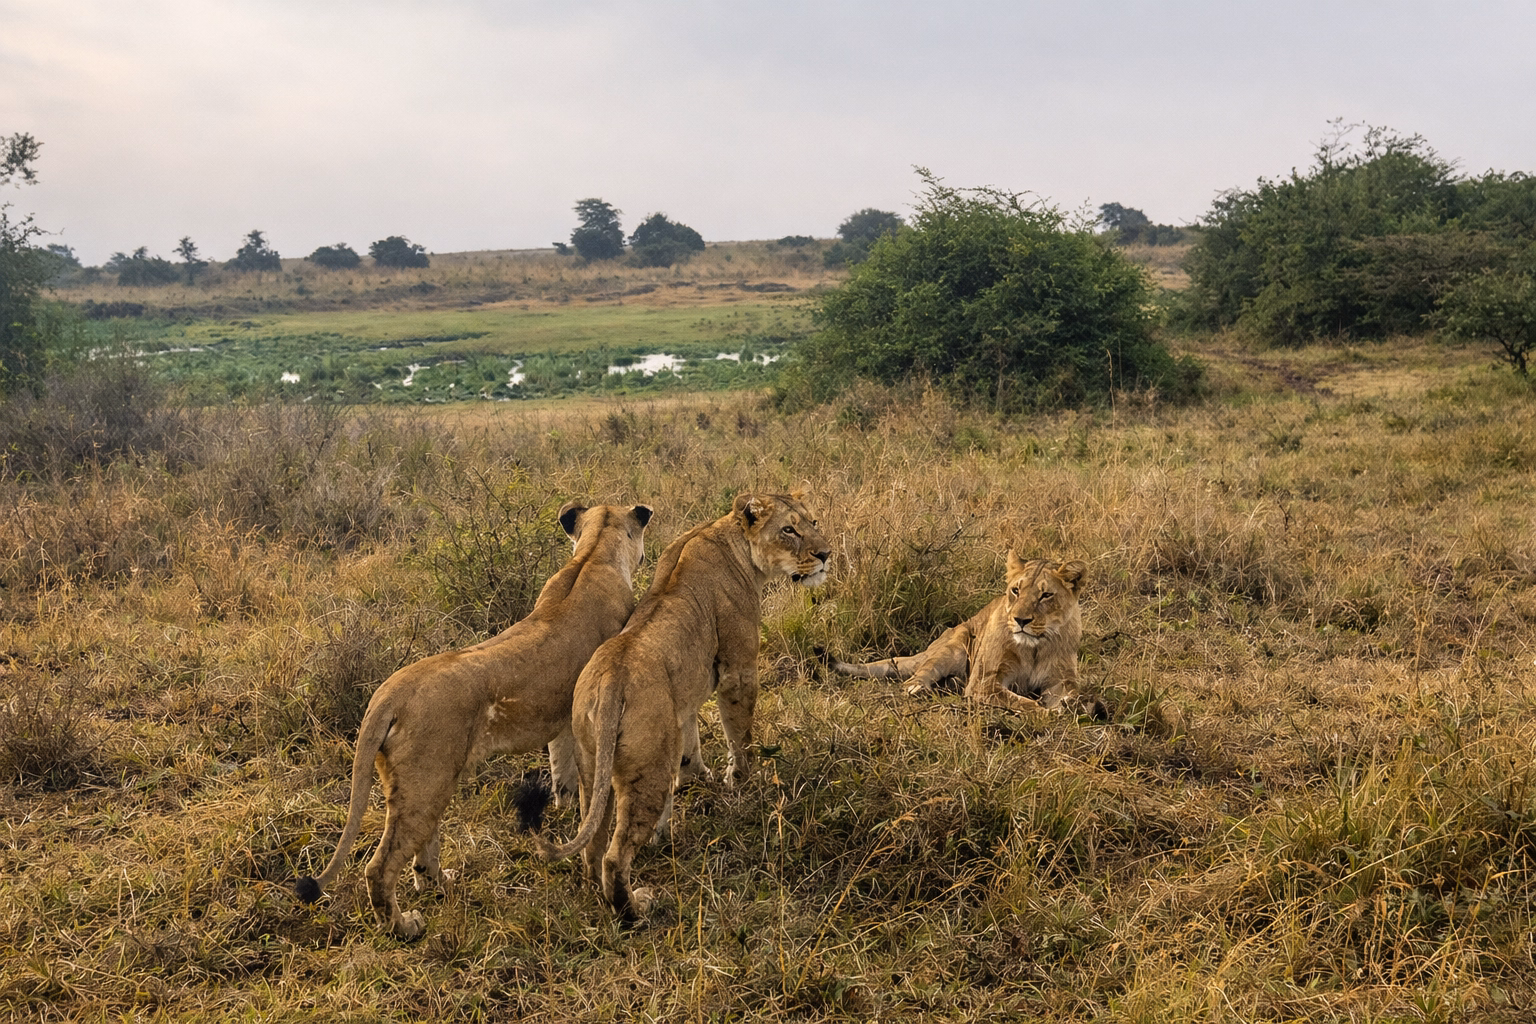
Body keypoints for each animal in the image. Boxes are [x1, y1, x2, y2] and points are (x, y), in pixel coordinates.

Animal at [293, 502, 653, 940]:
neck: (593, 555)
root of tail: (387, 695)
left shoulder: (563, 714)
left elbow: (561, 763)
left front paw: (563, 801)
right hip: (426, 781)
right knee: (379, 868)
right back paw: (405, 926)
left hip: (423, 785)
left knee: (422, 850)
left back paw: (440, 884)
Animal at [526, 490, 829, 921]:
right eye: (789, 529)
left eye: (814, 522)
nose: (826, 554)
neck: (730, 539)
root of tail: (611, 679)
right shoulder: (739, 669)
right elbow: (740, 733)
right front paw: (740, 780)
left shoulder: (682, 700)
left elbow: (690, 738)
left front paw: (697, 776)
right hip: (648, 771)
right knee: (616, 856)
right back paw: (636, 909)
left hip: (591, 763)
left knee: (593, 843)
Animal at [830, 553, 1086, 714]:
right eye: (1016, 590)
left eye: (1046, 595)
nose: (1020, 620)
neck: (1035, 647)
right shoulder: (984, 683)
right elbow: (1024, 703)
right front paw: (1046, 713)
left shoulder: (1061, 681)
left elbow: (1073, 695)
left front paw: (1067, 706)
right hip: (953, 646)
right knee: (916, 677)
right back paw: (920, 690)